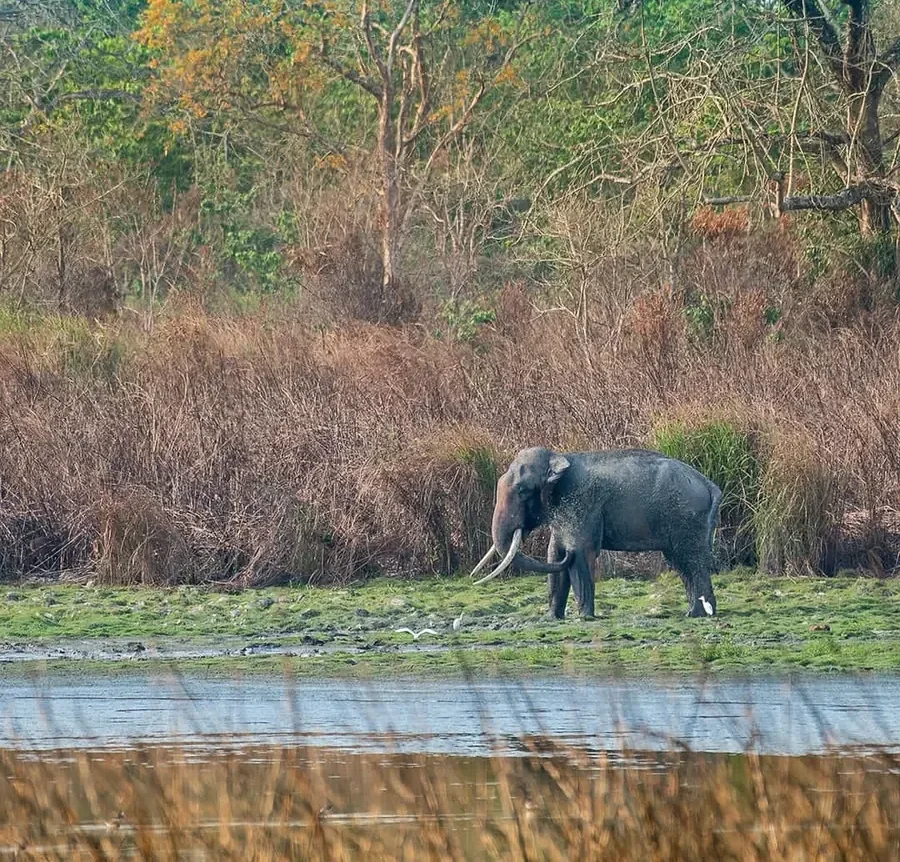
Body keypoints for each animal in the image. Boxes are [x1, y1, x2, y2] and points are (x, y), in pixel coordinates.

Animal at [470, 447, 722, 619]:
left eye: (523, 491)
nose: (473, 579)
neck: (560, 457)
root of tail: (711, 486)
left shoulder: (581, 504)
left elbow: (580, 553)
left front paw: (584, 617)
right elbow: (554, 556)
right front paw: (552, 618)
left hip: (687, 518)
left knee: (692, 561)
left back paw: (697, 614)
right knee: (681, 564)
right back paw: (694, 612)